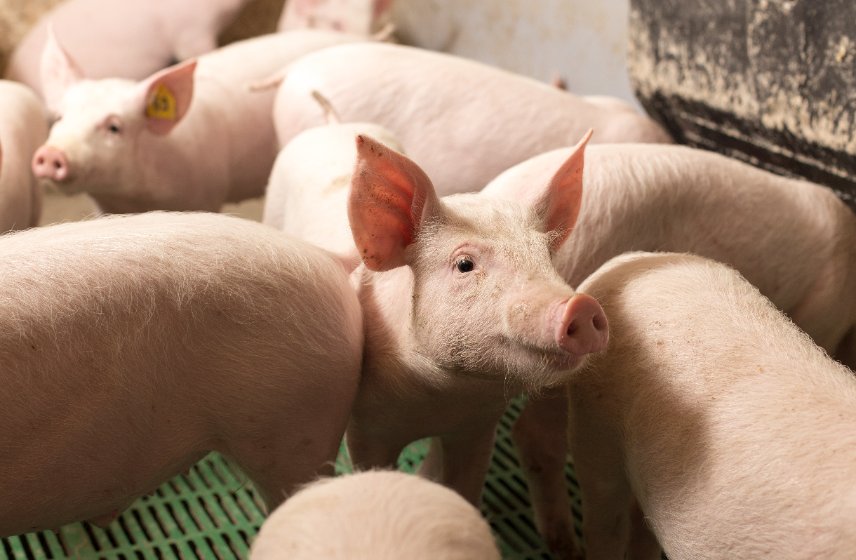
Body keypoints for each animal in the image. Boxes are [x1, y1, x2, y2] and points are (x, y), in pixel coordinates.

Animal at [344, 132, 608, 505]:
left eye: (547, 256)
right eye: (464, 264)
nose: (582, 306)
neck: (440, 398)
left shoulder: (478, 429)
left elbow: (465, 486)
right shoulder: (366, 427)